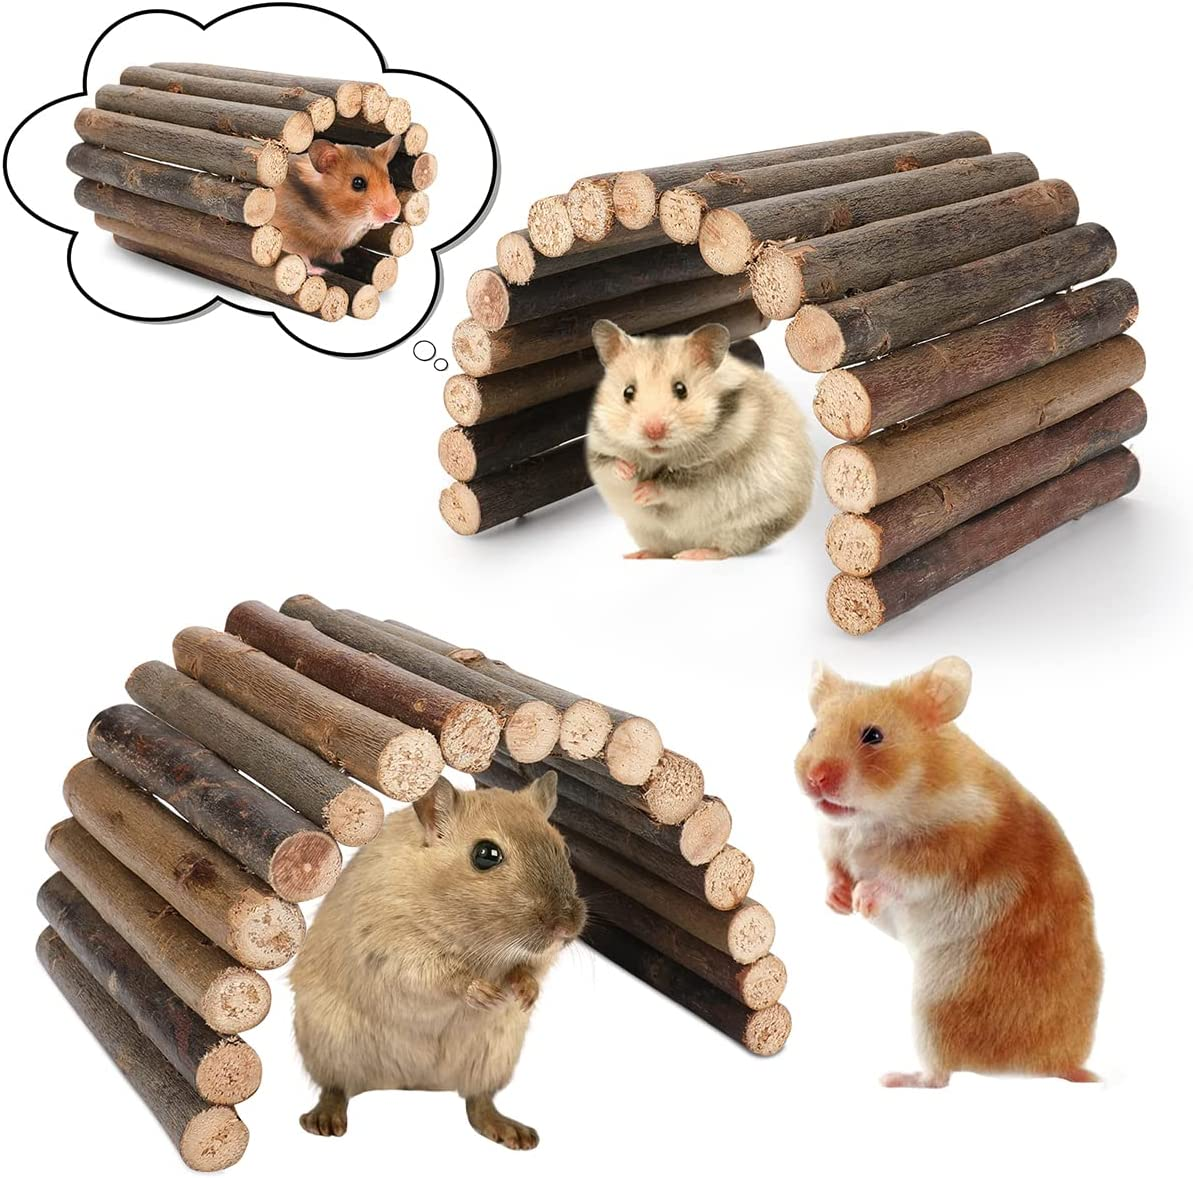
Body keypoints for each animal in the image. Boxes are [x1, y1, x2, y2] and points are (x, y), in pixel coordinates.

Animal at [270, 138, 401, 270]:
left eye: (390, 179)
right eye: (358, 183)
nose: (393, 214)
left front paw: (339, 260)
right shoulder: (287, 236)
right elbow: (301, 255)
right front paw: (318, 270)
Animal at [291, 773, 585, 1150]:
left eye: (564, 849)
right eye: (486, 855)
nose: (566, 929)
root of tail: (413, 1083)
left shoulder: (536, 958)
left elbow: (529, 970)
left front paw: (524, 995)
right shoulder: (393, 946)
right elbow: (442, 976)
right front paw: (485, 993)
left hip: (493, 1057)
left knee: (478, 1101)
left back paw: (514, 1133)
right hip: (329, 1046)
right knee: (336, 1088)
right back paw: (324, 1120)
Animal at [585, 320, 815, 559]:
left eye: (681, 389)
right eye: (627, 392)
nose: (654, 432)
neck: (658, 458)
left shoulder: (711, 469)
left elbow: (674, 485)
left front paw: (641, 493)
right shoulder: (596, 453)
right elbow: (609, 465)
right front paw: (628, 472)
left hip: (749, 525)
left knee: (726, 549)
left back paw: (693, 554)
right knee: (662, 550)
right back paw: (638, 555)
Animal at [794, 657, 1102, 1088]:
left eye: (873, 735)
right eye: (812, 731)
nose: (814, 779)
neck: (875, 814)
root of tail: (1055, 1065)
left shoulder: (948, 849)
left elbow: (897, 878)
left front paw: (861, 901)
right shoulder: (832, 841)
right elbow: (834, 869)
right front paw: (839, 901)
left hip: (935, 1005)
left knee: (941, 1075)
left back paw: (895, 1078)